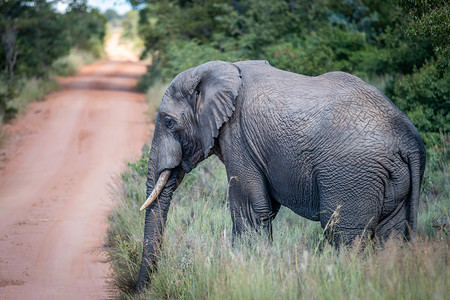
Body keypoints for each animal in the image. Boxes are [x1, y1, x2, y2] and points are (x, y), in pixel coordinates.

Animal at [136, 59, 426, 292]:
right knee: (391, 236)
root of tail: (408, 139)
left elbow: (250, 212)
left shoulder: (238, 138)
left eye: (169, 122)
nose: (141, 290)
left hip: (353, 175)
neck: (220, 69)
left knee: (344, 236)